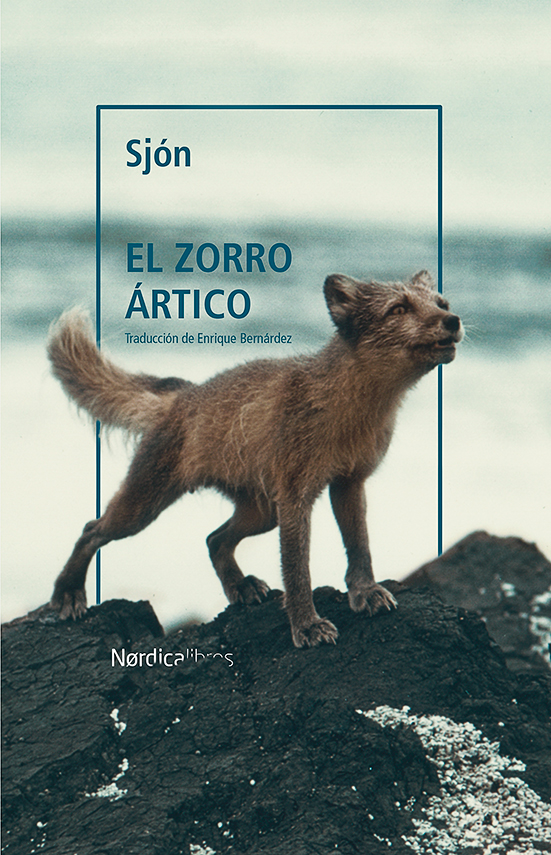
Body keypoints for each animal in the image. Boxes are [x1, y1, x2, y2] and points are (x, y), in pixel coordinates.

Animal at [47, 270, 462, 647]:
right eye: (399, 308)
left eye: (442, 303)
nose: (454, 320)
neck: (350, 408)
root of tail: (185, 394)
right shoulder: (296, 497)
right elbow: (297, 570)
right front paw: (307, 626)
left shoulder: (348, 482)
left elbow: (360, 546)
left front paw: (365, 592)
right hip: (144, 507)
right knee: (91, 529)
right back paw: (67, 594)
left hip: (262, 512)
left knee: (214, 539)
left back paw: (241, 587)